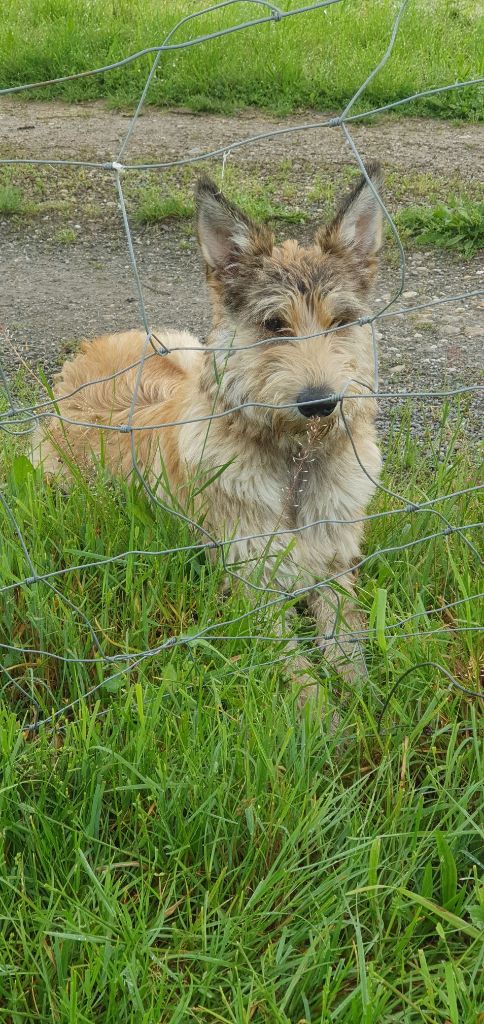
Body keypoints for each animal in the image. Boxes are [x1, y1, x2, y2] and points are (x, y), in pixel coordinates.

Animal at [32, 163, 382, 708]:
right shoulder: (251, 592)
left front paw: (367, 706)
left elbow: (349, 647)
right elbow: (301, 676)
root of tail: (84, 357)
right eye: (273, 324)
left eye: (340, 321)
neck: (294, 463)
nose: (320, 403)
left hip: (181, 346)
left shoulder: (336, 566)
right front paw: (325, 720)